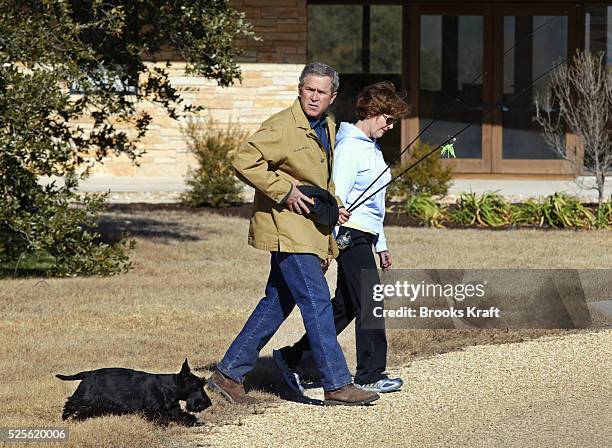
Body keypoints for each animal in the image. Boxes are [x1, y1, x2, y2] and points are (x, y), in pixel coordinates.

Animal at [57, 358, 210, 426]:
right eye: (196, 386)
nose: (208, 403)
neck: (170, 387)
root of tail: (88, 374)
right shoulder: (154, 410)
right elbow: (160, 418)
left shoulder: (173, 408)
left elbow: (182, 415)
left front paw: (193, 421)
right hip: (85, 398)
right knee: (70, 404)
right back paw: (66, 418)